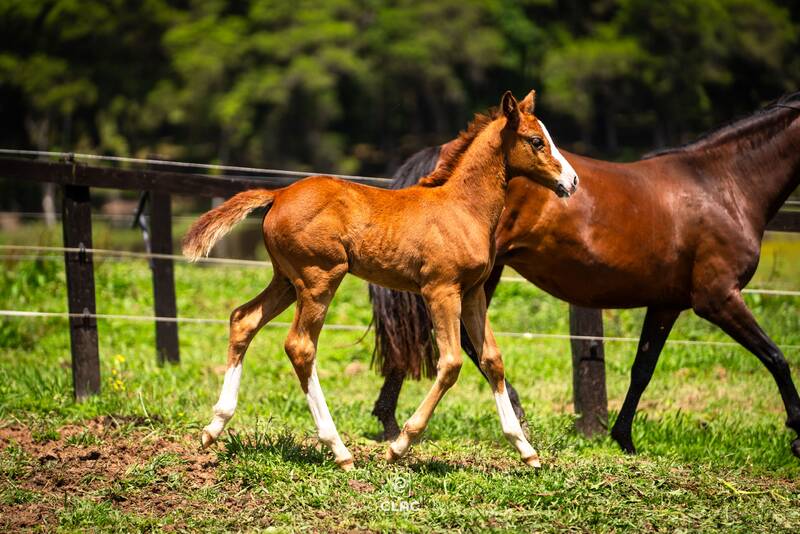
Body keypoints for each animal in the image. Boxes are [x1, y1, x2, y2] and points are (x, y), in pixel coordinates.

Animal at [184, 90, 580, 472]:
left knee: (243, 319)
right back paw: (340, 451)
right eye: (536, 140)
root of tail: (278, 194)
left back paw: (213, 427)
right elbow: (451, 362)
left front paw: (526, 450)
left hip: (286, 280)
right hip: (319, 279)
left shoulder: (472, 293)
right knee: (300, 346)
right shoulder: (440, 290)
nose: (572, 181)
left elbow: (492, 360)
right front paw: (399, 446)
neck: (462, 208)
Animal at [368, 92, 800, 460]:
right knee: (455, 344)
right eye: (537, 141)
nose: (572, 182)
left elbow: (643, 369)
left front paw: (624, 438)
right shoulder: (718, 297)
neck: (723, 187)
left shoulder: (666, 304)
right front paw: (797, 433)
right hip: (474, 279)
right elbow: (777, 357)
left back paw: (391, 421)